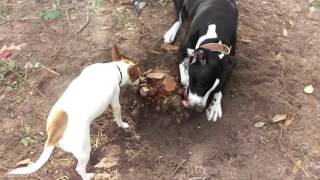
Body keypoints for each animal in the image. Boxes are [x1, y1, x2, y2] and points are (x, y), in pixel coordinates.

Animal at [8, 45, 141, 180]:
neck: (115, 68)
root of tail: (53, 135)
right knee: (79, 168)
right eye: (138, 75)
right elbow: (118, 115)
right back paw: (88, 176)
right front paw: (123, 125)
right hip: (84, 151)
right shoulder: (115, 101)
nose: (141, 81)